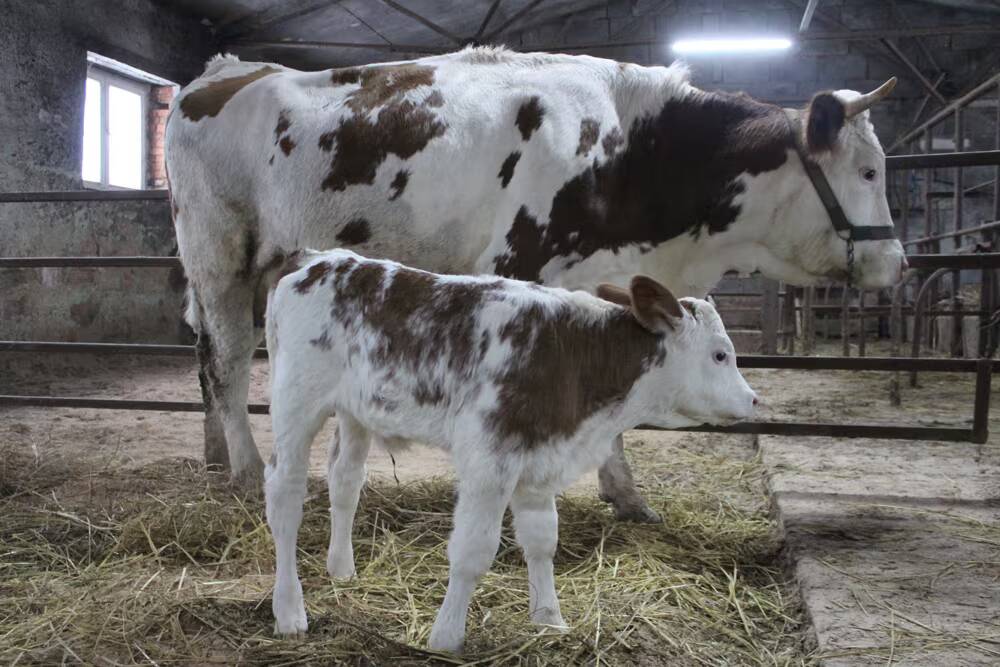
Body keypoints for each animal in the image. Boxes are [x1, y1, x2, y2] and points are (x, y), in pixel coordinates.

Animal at [165, 46, 905, 522]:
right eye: (870, 170)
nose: (898, 262)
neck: (630, 149)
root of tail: (222, 73)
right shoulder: (518, 268)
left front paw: (626, 496)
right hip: (219, 254)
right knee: (227, 362)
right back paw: (243, 469)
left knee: (208, 359)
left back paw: (213, 456)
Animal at [263, 249, 758, 651]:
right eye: (720, 355)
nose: (754, 400)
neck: (574, 355)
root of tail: (316, 258)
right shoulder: (490, 459)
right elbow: (472, 551)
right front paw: (446, 638)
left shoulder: (541, 462)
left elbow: (542, 541)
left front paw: (550, 619)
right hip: (295, 402)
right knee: (285, 496)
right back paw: (289, 611)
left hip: (356, 412)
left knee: (345, 481)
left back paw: (341, 569)